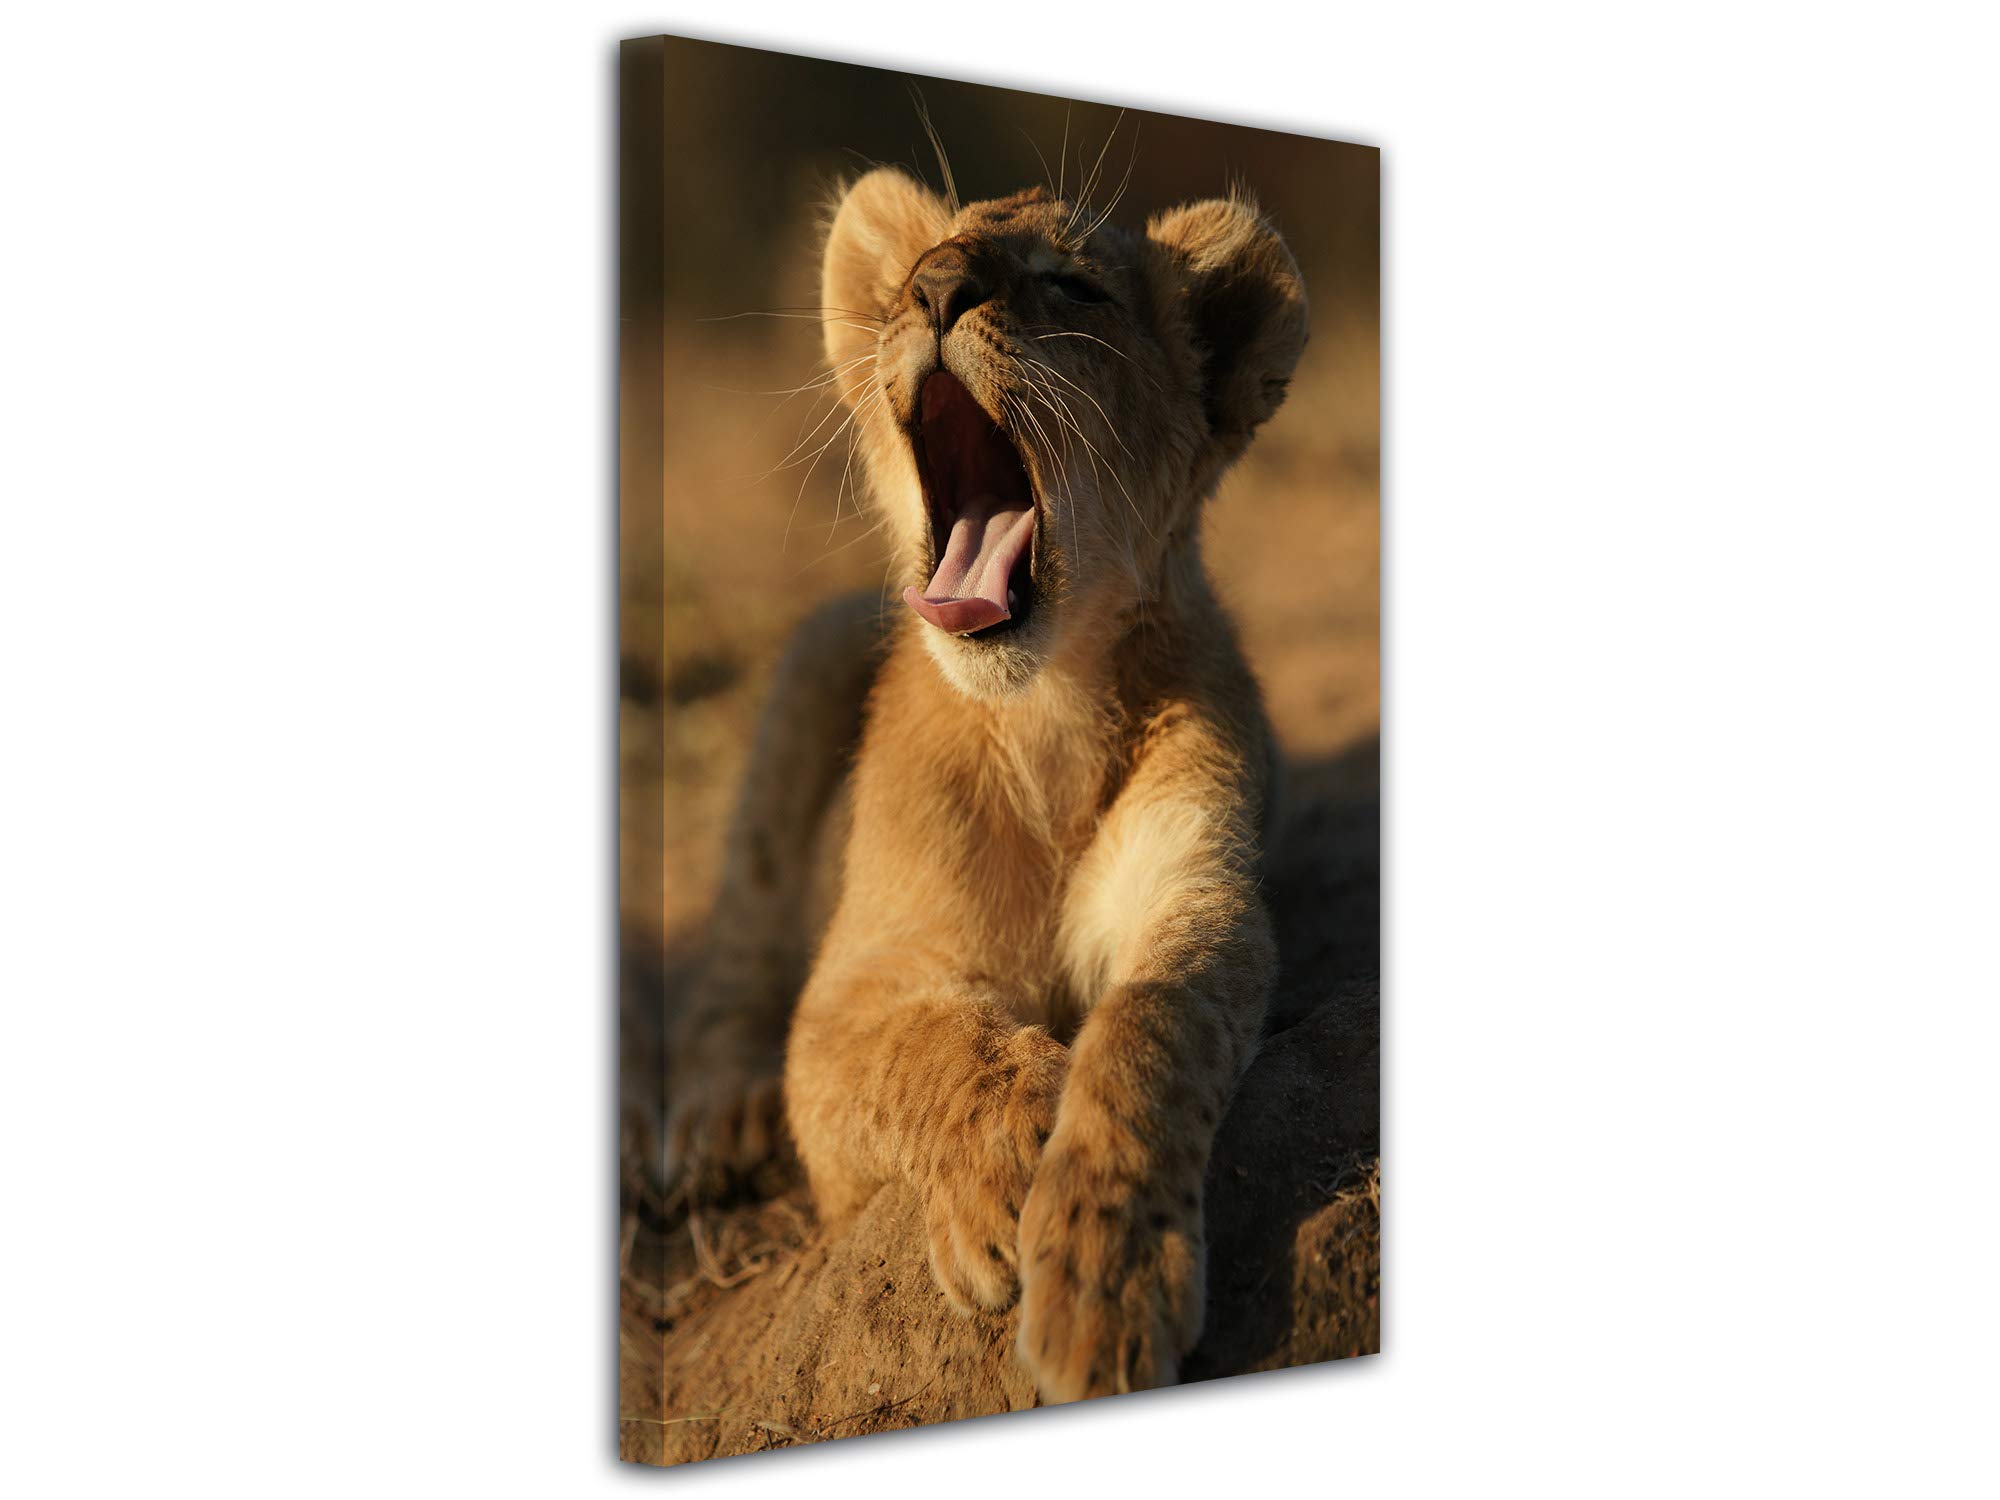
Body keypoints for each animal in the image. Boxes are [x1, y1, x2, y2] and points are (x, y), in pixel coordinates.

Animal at [663, 167, 1309, 1404]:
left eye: (1073, 284)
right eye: (920, 271)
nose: (932, 289)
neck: (1043, 716)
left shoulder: (1197, 901)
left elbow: (1146, 1037)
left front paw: (1104, 1288)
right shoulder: (849, 990)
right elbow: (928, 1050)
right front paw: (1006, 1178)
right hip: (814, 658)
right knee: (736, 956)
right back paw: (715, 1123)